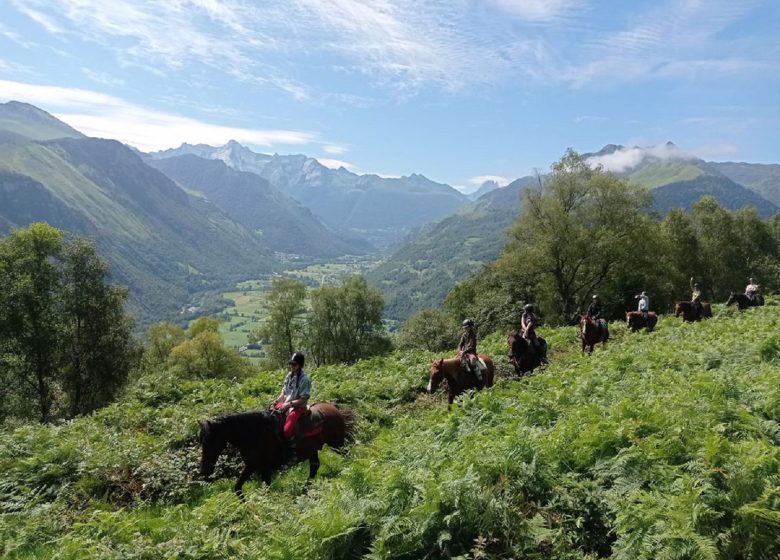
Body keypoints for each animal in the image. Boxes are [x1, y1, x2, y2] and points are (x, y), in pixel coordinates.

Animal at [197, 402, 354, 498]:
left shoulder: (265, 468)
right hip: (313, 449)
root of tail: (333, 407)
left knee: (348, 455)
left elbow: (266, 488)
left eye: (211, 442)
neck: (254, 433)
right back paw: (306, 488)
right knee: (314, 466)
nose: (204, 470)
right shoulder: (251, 465)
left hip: (337, 444)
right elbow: (238, 487)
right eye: (202, 442)